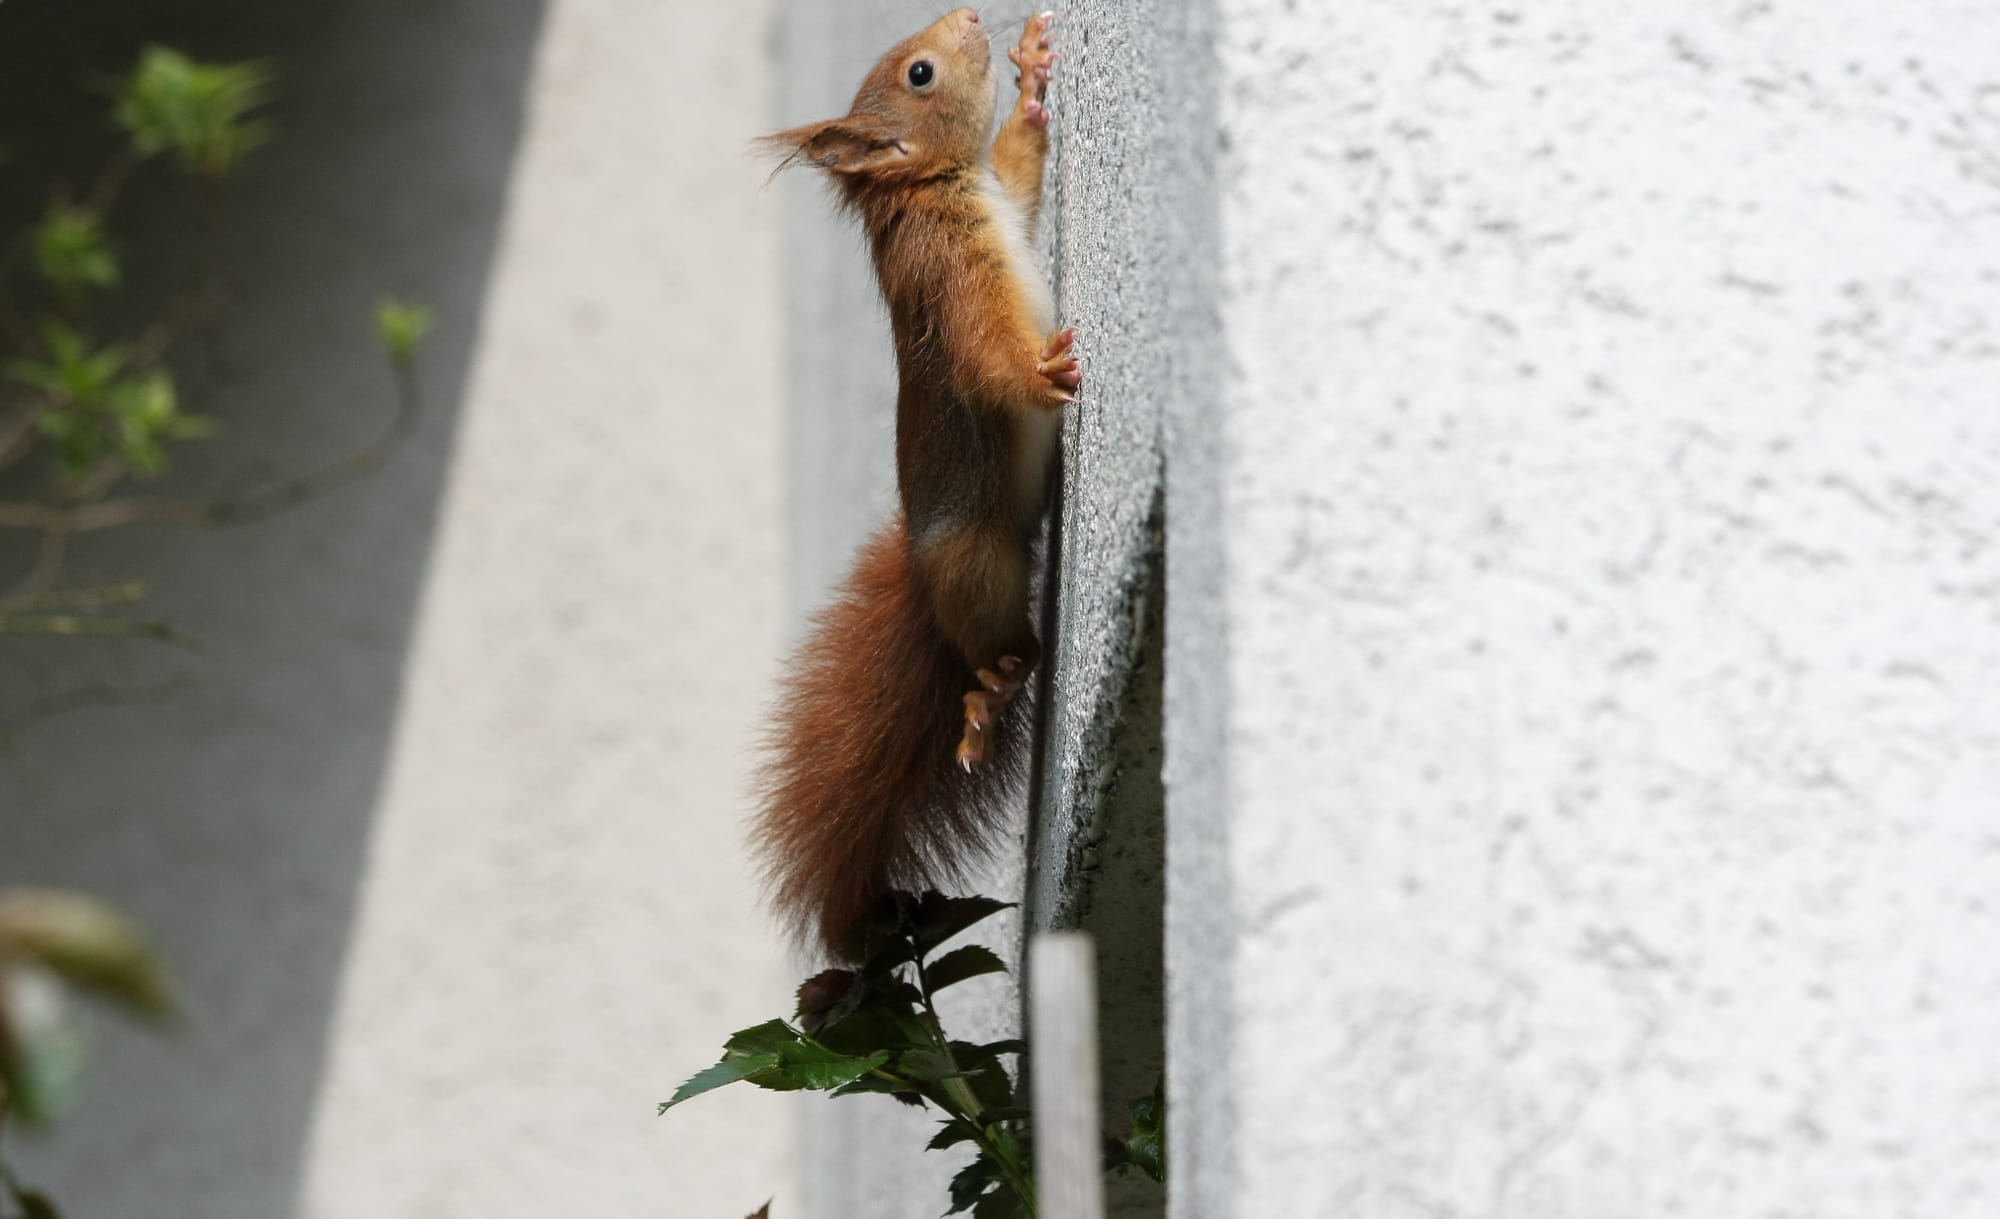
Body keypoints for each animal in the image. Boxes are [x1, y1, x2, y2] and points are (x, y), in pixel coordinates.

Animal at [753, 9, 1077, 957]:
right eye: (921, 74)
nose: (971, 17)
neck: (935, 185)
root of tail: (927, 589)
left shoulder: (1002, 195)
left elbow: (1021, 168)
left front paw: (1034, 77)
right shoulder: (951, 280)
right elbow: (990, 357)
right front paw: (1044, 371)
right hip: (979, 562)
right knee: (1006, 651)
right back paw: (991, 695)